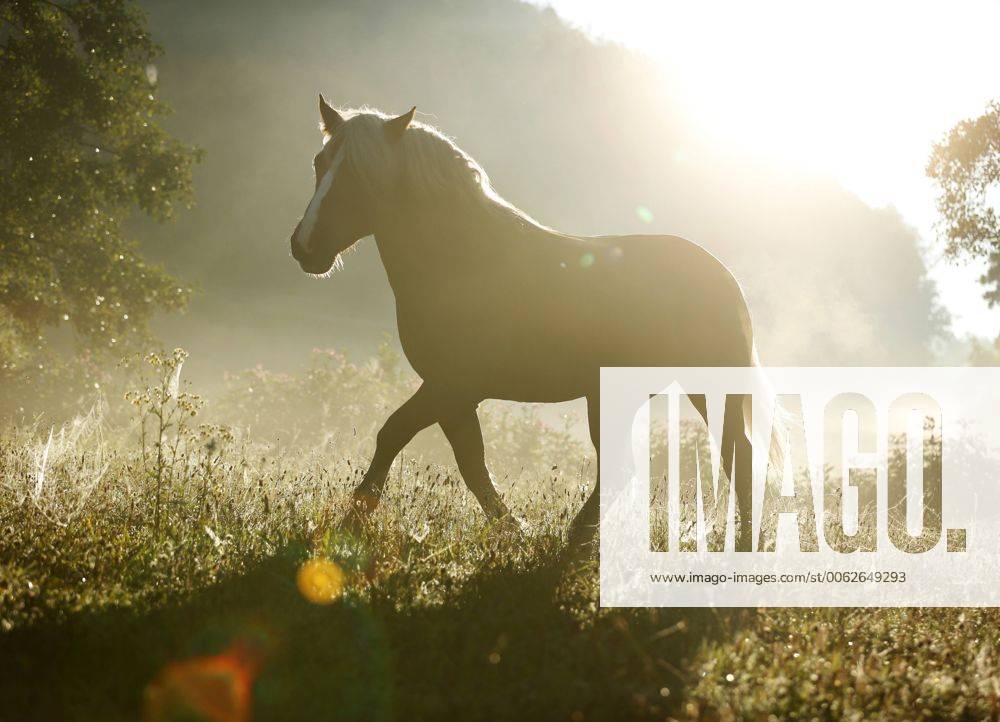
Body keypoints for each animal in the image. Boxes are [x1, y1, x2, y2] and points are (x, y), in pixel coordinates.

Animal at [289, 96, 759, 548]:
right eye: (319, 162)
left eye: (361, 174)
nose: (304, 246)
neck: (460, 262)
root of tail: (726, 280)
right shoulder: (454, 396)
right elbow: (468, 462)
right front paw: (516, 530)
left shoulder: (450, 386)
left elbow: (396, 434)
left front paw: (353, 521)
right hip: (613, 395)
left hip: (702, 388)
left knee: (737, 458)